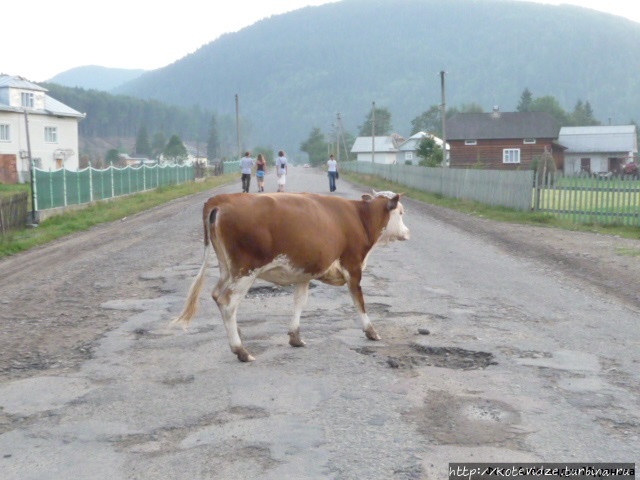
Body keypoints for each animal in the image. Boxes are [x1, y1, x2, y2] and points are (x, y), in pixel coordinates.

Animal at [172, 189, 410, 362]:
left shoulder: (304, 273)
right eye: (401, 212)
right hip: (246, 271)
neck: (360, 218)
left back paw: (238, 334)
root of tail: (222, 199)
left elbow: (299, 302)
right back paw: (241, 351)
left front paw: (296, 338)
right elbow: (359, 301)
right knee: (228, 302)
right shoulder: (353, 266)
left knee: (216, 295)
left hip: (227, 268)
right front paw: (372, 332)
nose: (407, 232)